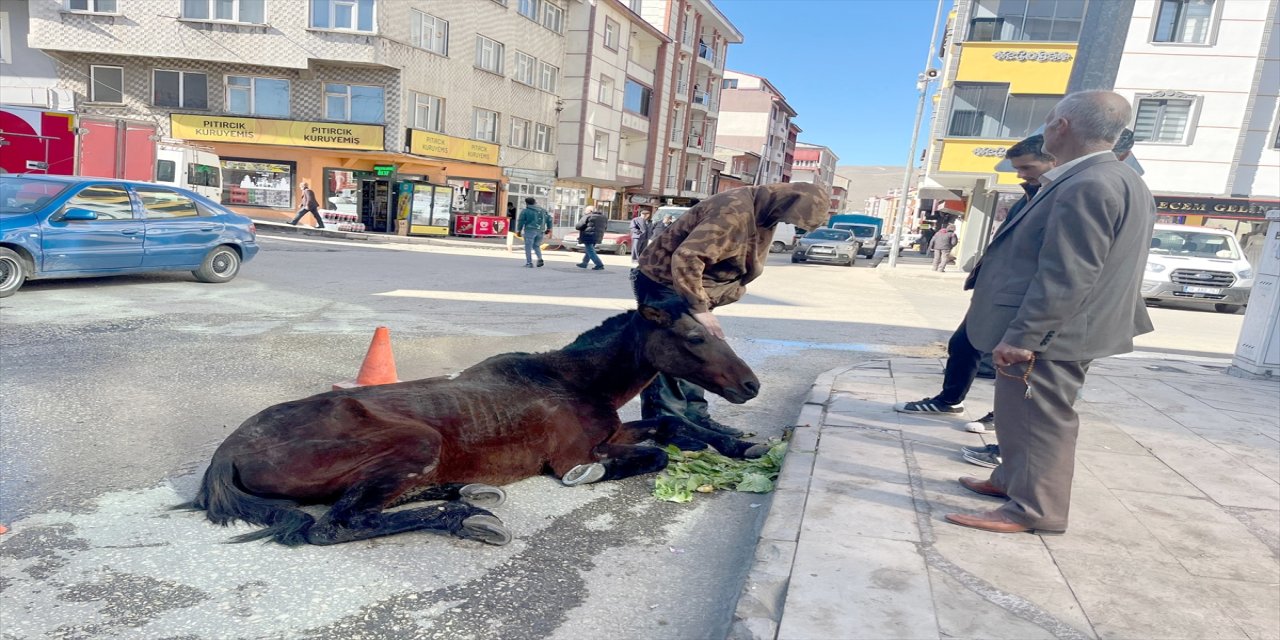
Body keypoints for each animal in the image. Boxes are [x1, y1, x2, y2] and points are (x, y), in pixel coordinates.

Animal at [179, 298, 757, 545]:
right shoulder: (576, 453)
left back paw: (462, 492)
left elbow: (671, 430)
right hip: (416, 442)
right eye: (694, 337)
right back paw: (466, 518)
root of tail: (227, 452)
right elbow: (652, 453)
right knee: (339, 523)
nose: (751, 385)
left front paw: (741, 447)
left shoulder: (614, 432)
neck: (571, 379)